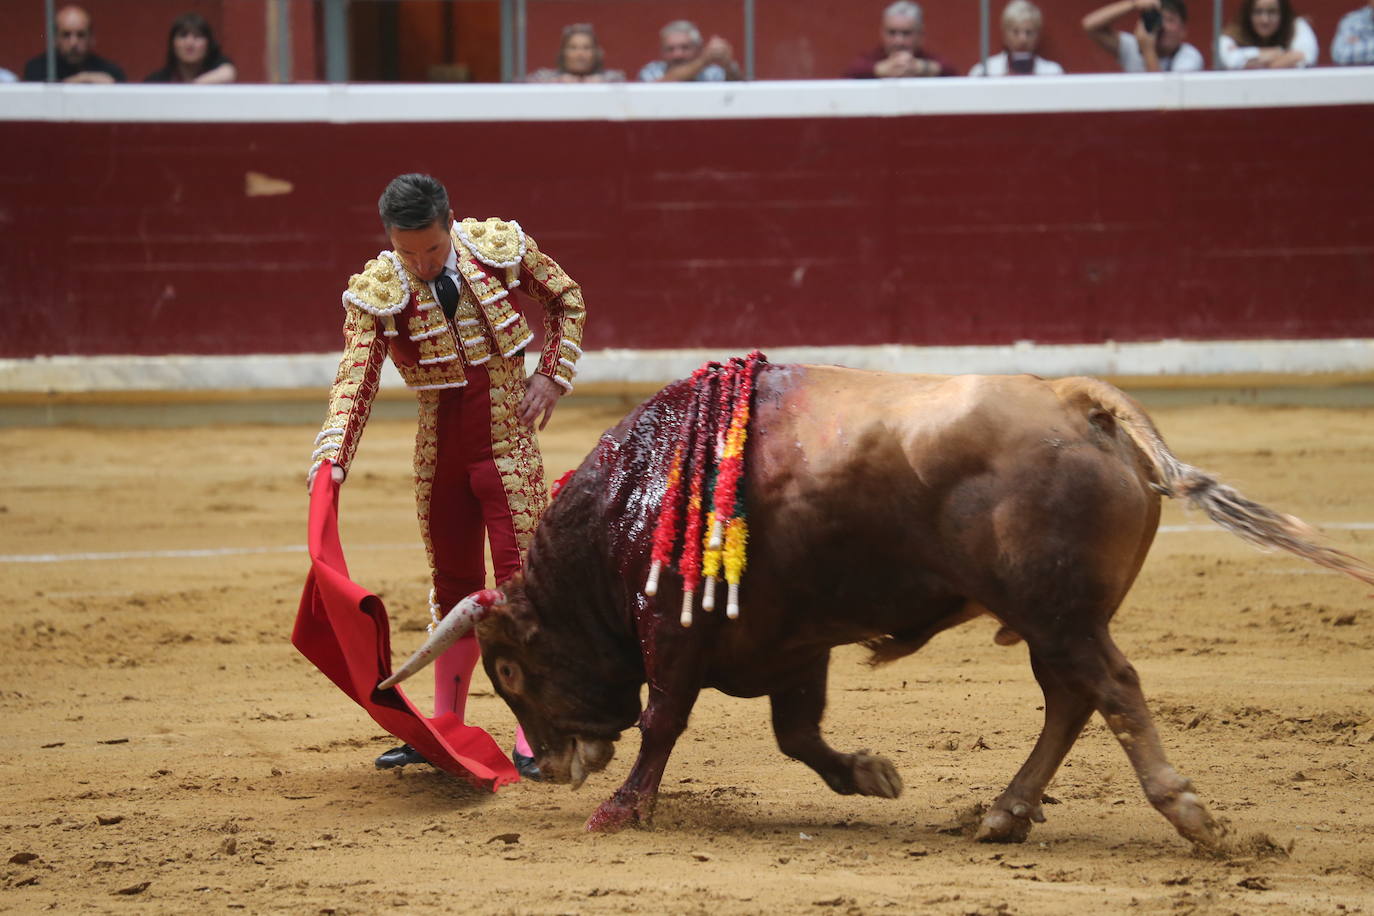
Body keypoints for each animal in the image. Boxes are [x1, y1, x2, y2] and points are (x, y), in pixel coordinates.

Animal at [379, 362, 1374, 851]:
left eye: (510, 667)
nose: (543, 766)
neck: (632, 504)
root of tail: (1076, 399)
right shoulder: (789, 643)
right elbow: (799, 735)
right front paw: (872, 775)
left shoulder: (678, 635)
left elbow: (665, 720)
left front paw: (621, 810)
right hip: (1052, 622)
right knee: (1071, 699)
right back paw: (1004, 814)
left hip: (1059, 613)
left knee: (1113, 690)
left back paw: (1191, 817)